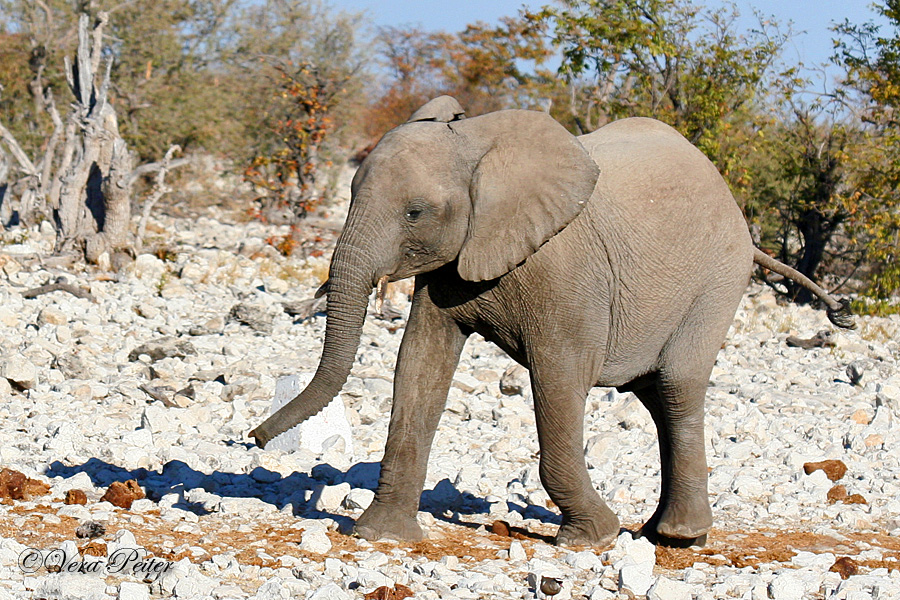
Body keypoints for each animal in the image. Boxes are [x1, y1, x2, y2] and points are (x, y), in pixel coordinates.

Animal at [250, 95, 856, 548]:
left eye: (414, 213)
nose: (254, 437)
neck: (477, 146)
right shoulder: (451, 266)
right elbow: (419, 368)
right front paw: (381, 537)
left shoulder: (566, 272)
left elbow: (560, 379)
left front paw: (594, 538)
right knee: (655, 397)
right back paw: (660, 533)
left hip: (717, 280)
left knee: (678, 387)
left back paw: (679, 538)